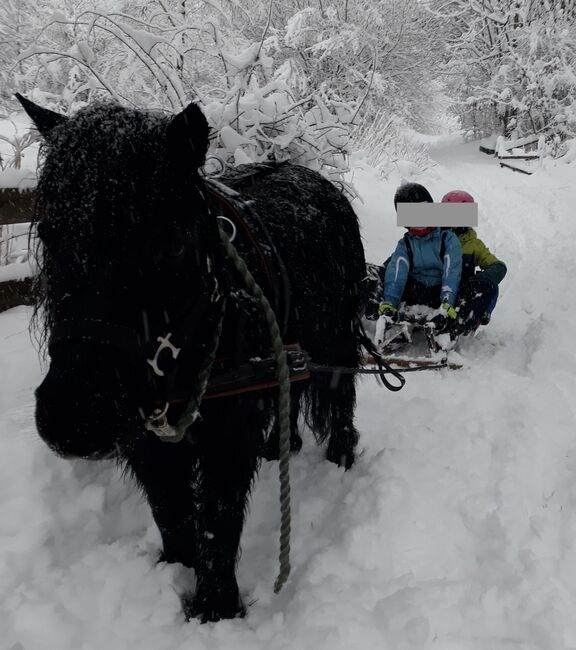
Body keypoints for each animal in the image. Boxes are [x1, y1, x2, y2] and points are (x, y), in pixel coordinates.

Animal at [20, 95, 366, 616]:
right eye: (48, 231)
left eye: (171, 243)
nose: (73, 418)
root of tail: (324, 185)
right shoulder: (145, 438)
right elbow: (172, 514)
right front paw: (177, 572)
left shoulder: (226, 439)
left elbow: (218, 523)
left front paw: (216, 608)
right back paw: (279, 446)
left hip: (335, 343)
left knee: (339, 397)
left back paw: (341, 456)